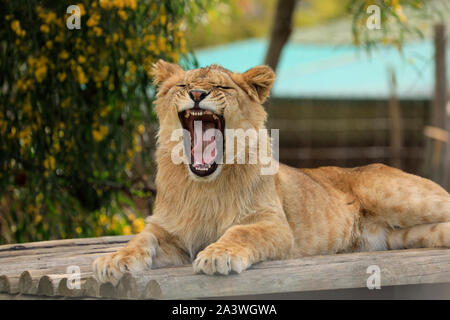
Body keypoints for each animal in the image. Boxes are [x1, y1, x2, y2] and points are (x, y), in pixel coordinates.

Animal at [92, 58, 450, 284]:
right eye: (183, 84)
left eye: (221, 87)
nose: (196, 94)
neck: (205, 186)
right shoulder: (168, 232)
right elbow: (141, 239)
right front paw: (114, 260)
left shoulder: (276, 226)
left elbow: (240, 232)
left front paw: (218, 255)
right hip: (403, 236)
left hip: (398, 196)